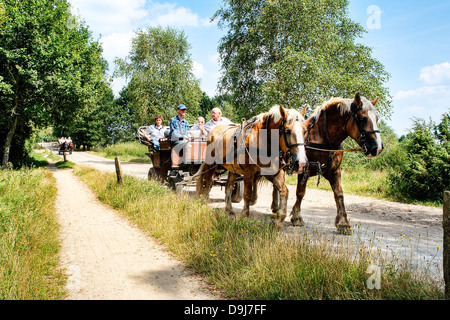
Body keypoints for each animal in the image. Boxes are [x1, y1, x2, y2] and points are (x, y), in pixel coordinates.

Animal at [270, 91, 384, 234]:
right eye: (363, 119)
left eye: (377, 119)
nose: (377, 148)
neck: (323, 137)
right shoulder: (304, 169)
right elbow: (300, 193)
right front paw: (297, 217)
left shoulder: (334, 171)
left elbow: (339, 194)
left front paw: (343, 223)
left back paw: (275, 208)